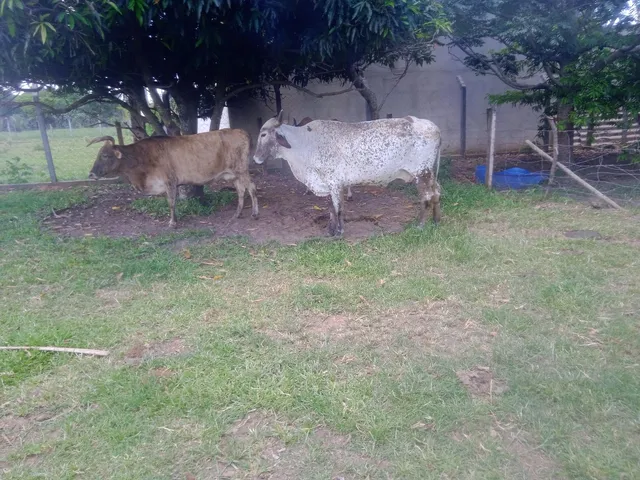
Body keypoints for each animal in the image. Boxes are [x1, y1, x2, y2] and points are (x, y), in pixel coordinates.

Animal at [87, 130, 259, 228]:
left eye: (105, 155)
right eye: (98, 154)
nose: (91, 174)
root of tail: (241, 131)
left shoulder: (170, 181)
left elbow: (171, 203)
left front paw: (172, 223)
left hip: (242, 170)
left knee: (251, 188)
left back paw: (255, 213)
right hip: (235, 174)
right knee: (241, 190)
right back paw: (237, 214)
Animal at [253, 111, 441, 237]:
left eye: (263, 134)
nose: (255, 158)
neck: (304, 144)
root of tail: (433, 127)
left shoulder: (335, 183)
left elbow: (338, 209)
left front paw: (339, 231)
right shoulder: (329, 184)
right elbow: (331, 208)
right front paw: (330, 230)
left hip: (422, 173)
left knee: (426, 196)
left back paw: (421, 225)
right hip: (430, 175)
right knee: (436, 193)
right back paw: (436, 220)